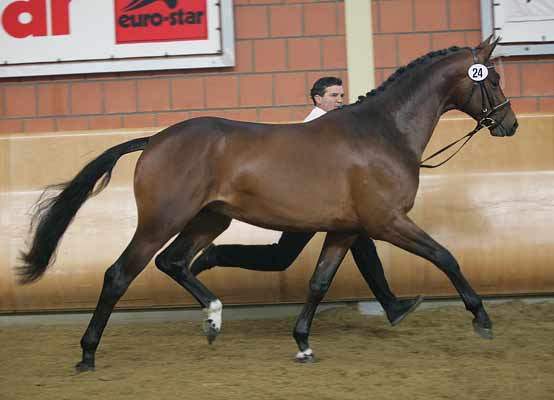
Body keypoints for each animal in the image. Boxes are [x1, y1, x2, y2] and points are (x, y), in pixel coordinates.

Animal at [19, 36, 516, 370]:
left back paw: (213, 319)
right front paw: (482, 319)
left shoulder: (346, 229)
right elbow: (445, 256)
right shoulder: (387, 221)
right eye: (491, 78)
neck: (384, 132)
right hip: (163, 220)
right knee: (120, 274)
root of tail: (155, 140)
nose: (508, 124)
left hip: (209, 219)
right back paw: (88, 354)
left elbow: (319, 282)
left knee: (175, 262)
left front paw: (303, 342)